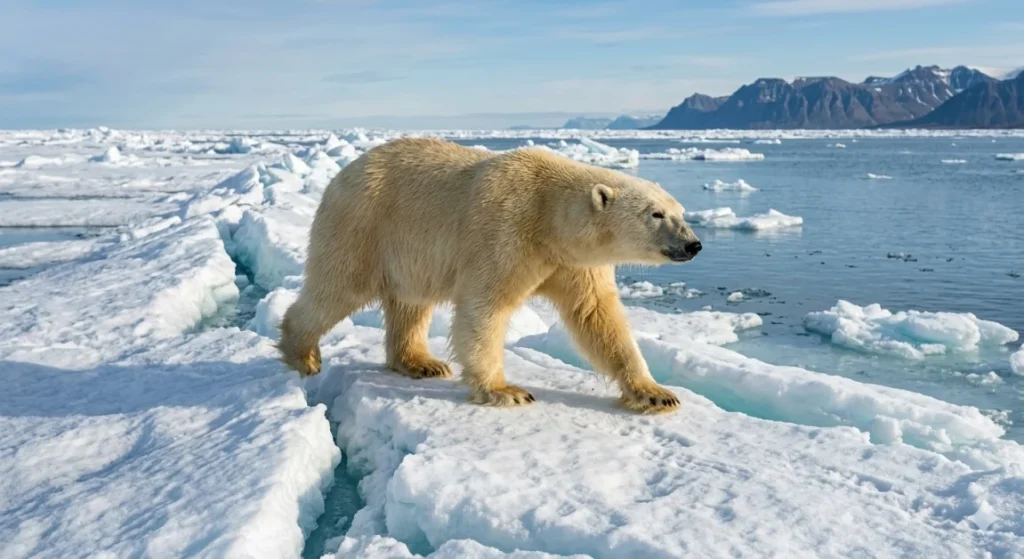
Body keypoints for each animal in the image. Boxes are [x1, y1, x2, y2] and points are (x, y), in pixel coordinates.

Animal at [277, 137, 703, 413]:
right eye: (656, 214)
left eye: (681, 211)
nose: (693, 244)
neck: (549, 218)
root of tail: (339, 176)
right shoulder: (505, 231)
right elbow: (485, 307)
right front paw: (506, 391)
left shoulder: (573, 263)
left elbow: (597, 317)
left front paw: (656, 393)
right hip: (364, 224)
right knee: (337, 287)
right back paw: (303, 354)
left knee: (411, 303)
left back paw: (422, 362)